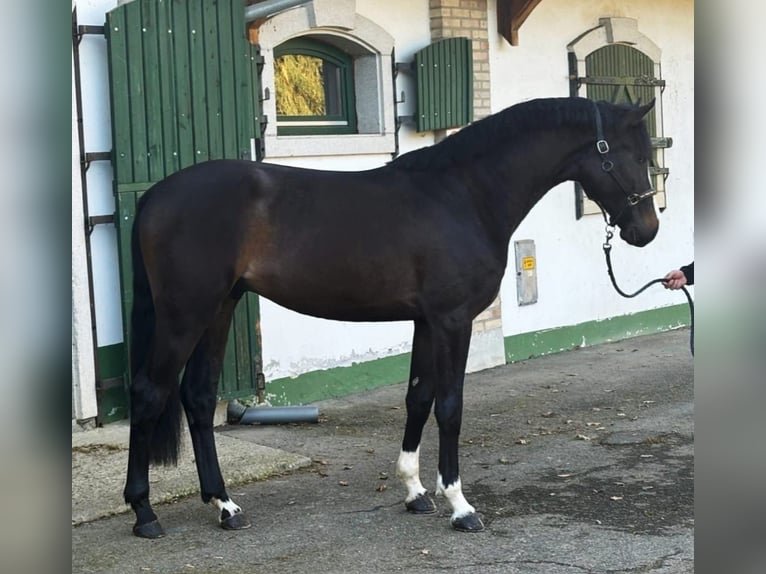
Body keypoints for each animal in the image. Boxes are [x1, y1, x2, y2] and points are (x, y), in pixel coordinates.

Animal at [123, 95, 656, 540]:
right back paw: (144, 513)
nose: (646, 230)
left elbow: (418, 398)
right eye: (635, 156)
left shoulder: (426, 322)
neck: (463, 195)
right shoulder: (452, 320)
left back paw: (224, 505)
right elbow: (450, 406)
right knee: (149, 392)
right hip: (186, 314)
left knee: (197, 396)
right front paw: (460, 506)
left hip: (220, 308)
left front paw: (415, 493)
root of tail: (154, 196)